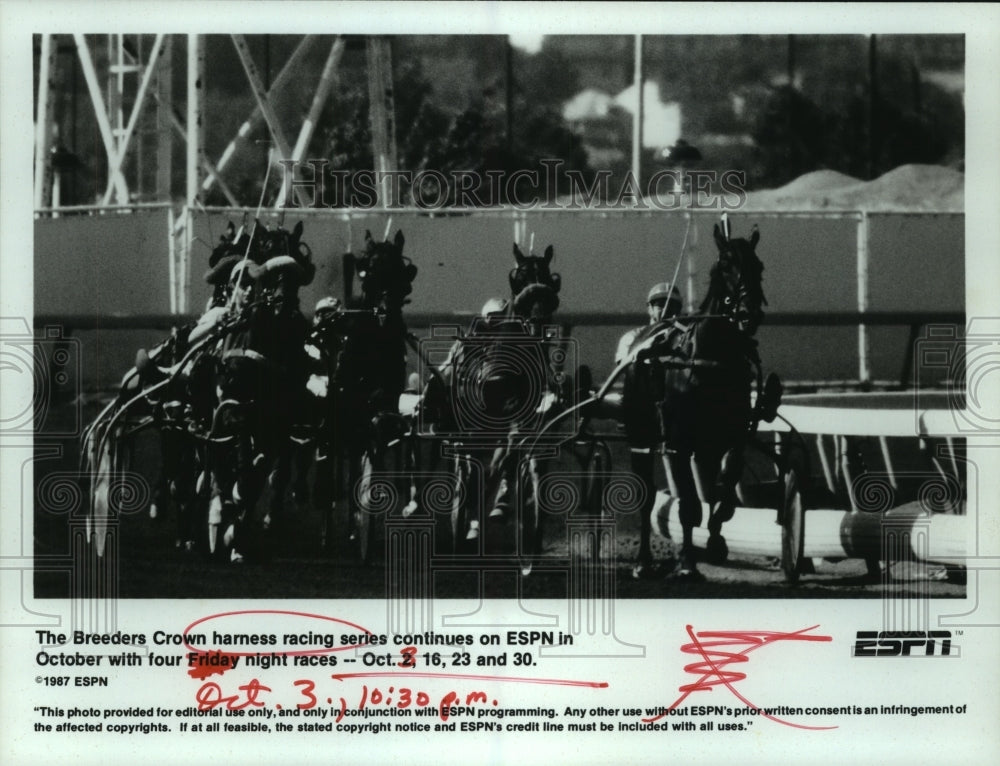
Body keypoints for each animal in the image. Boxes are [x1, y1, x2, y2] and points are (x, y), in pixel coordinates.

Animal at [624, 224, 780, 584]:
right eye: (724, 265)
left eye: (759, 266)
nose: (747, 314)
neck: (710, 356)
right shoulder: (679, 442)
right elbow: (688, 505)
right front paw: (685, 563)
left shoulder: (731, 436)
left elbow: (723, 489)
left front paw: (716, 537)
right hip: (641, 436)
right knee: (646, 496)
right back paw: (642, 561)